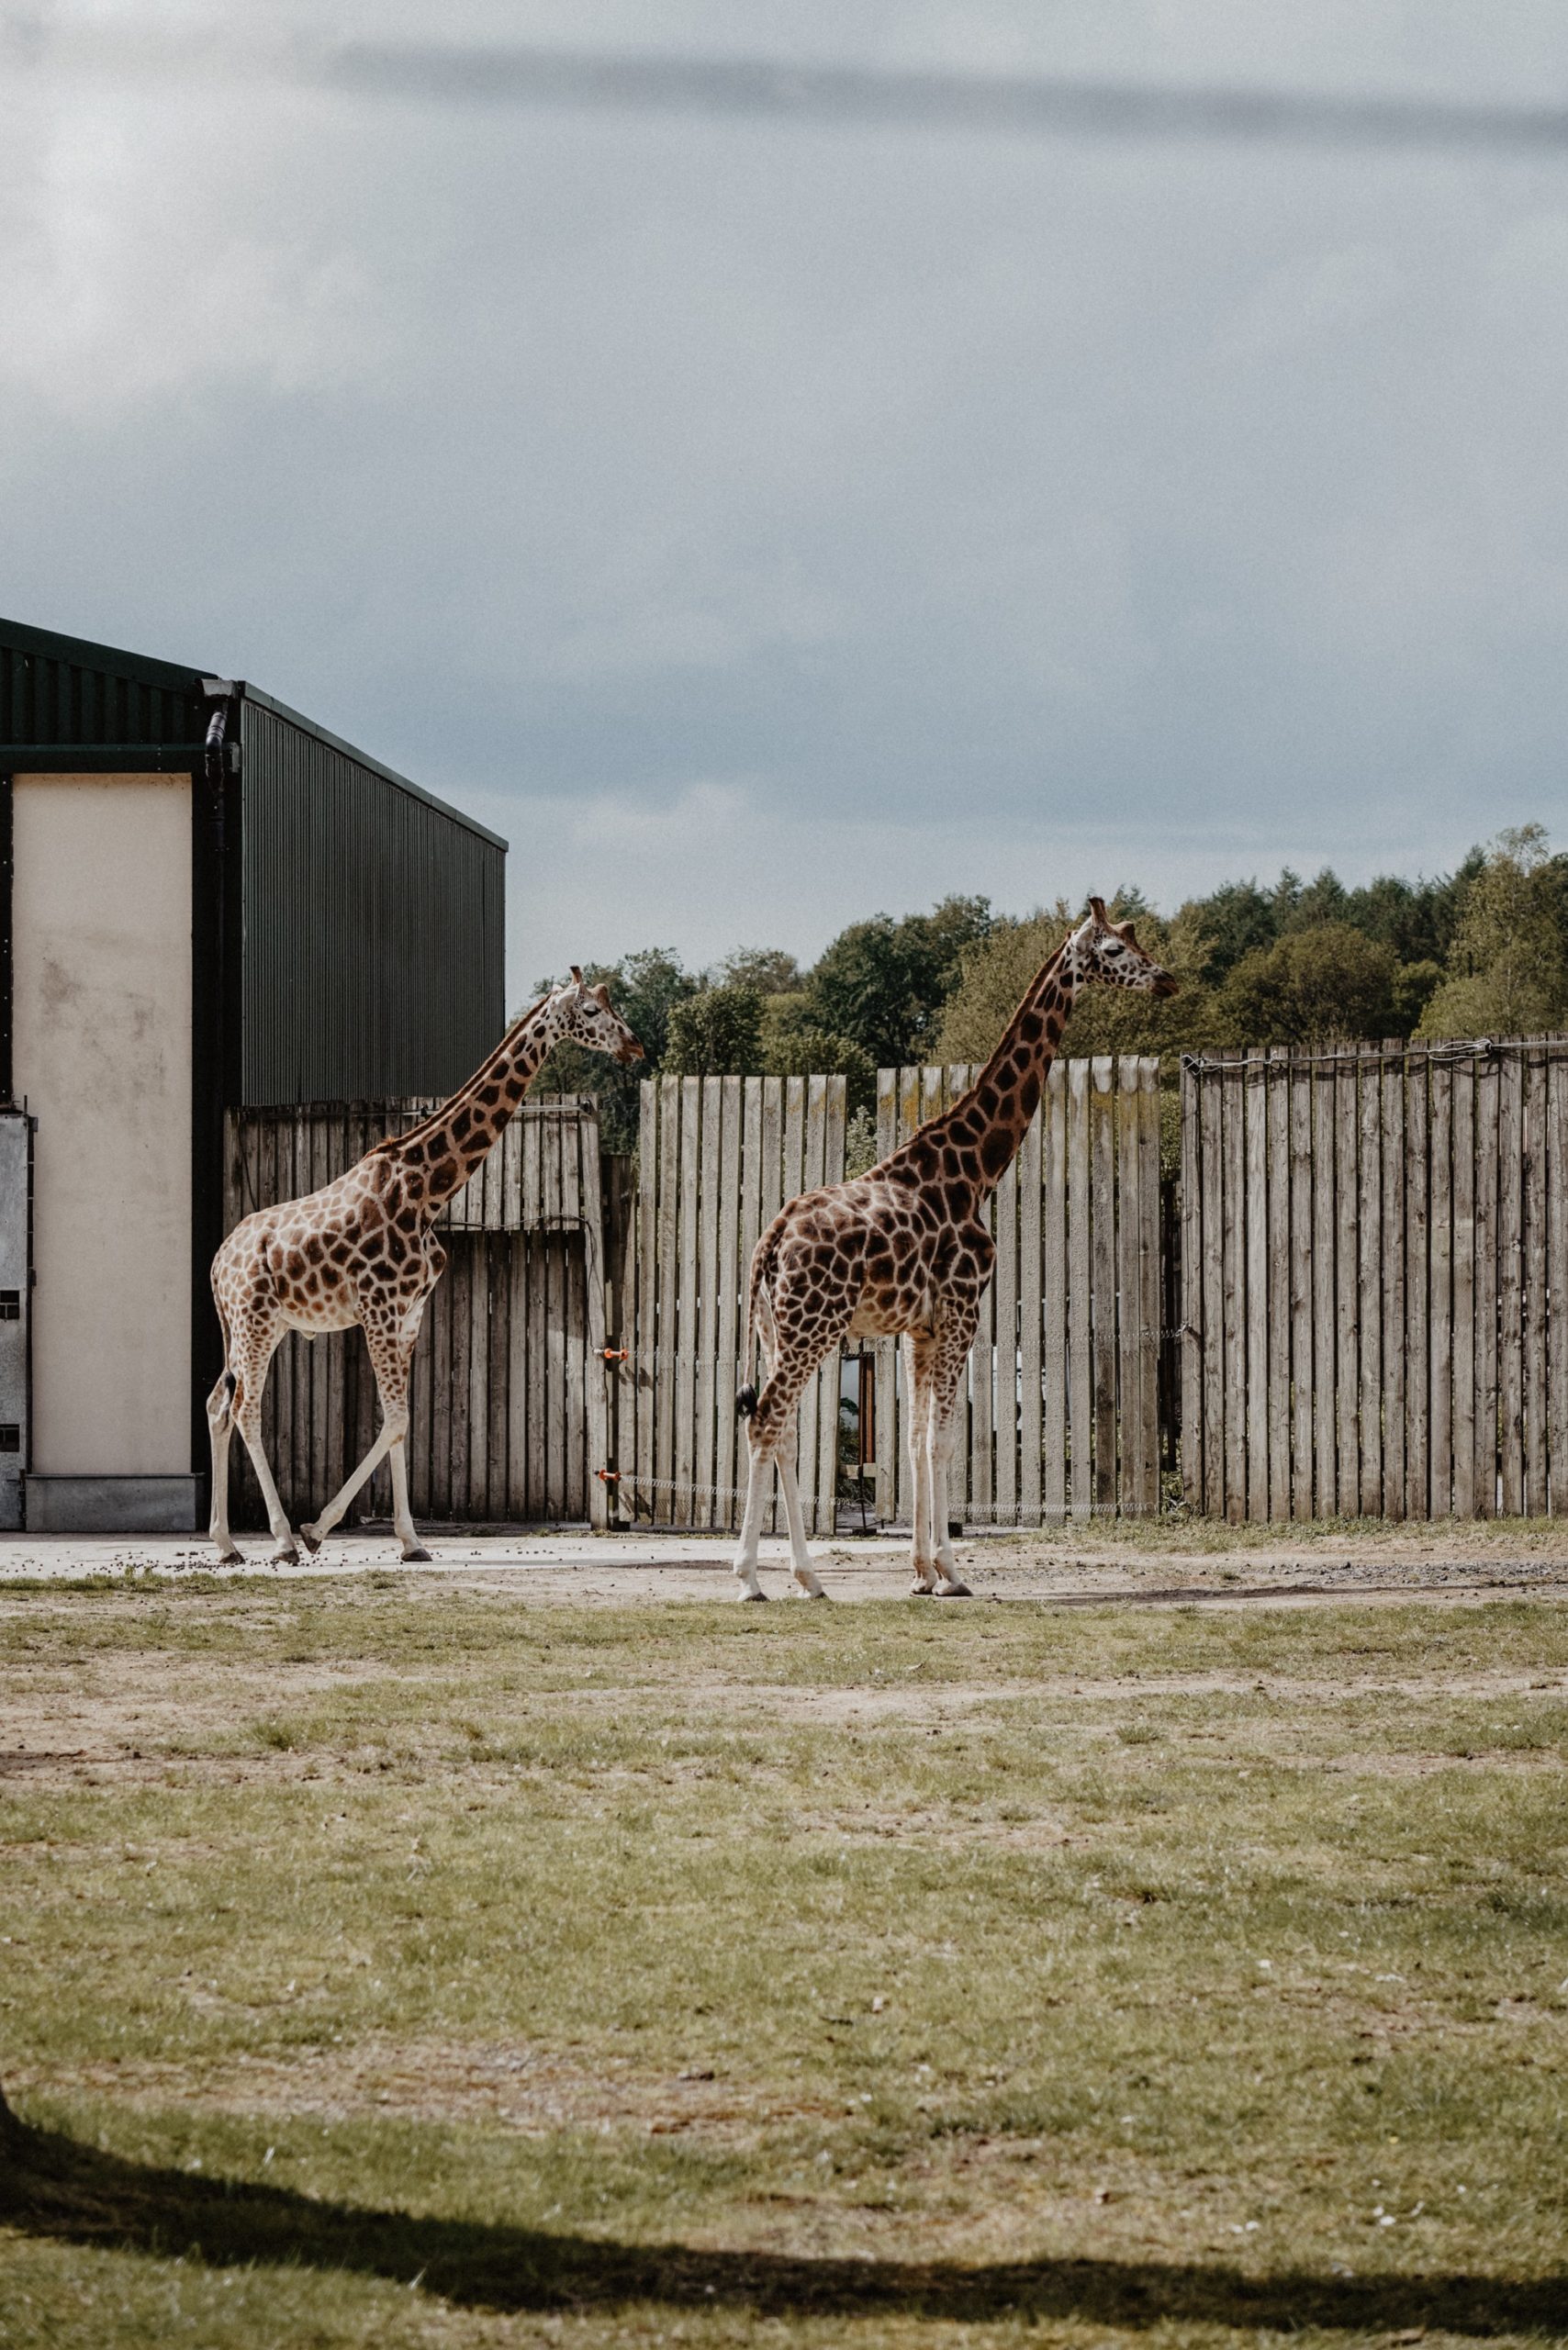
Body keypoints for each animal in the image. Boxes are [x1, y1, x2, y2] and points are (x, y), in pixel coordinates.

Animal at [210, 968, 644, 1560]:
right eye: (593, 1010)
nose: (636, 1045)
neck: (428, 1192)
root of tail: (216, 1262)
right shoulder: (379, 1308)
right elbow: (396, 1416)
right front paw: (316, 1529)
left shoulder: (409, 1315)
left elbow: (400, 1423)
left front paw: (411, 1541)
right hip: (253, 1322)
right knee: (244, 1409)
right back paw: (279, 1539)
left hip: (253, 1325)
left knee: (217, 1404)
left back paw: (226, 1544)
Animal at [738, 892, 1175, 1597]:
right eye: (1114, 949)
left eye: (1137, 941)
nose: (1167, 980)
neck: (973, 1172)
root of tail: (770, 1243)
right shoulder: (963, 1311)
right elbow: (942, 1442)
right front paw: (949, 1571)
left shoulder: (919, 1328)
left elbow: (916, 1440)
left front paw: (920, 1571)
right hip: (814, 1327)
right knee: (766, 1419)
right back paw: (751, 1578)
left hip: (776, 1330)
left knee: (781, 1431)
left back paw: (807, 1577)